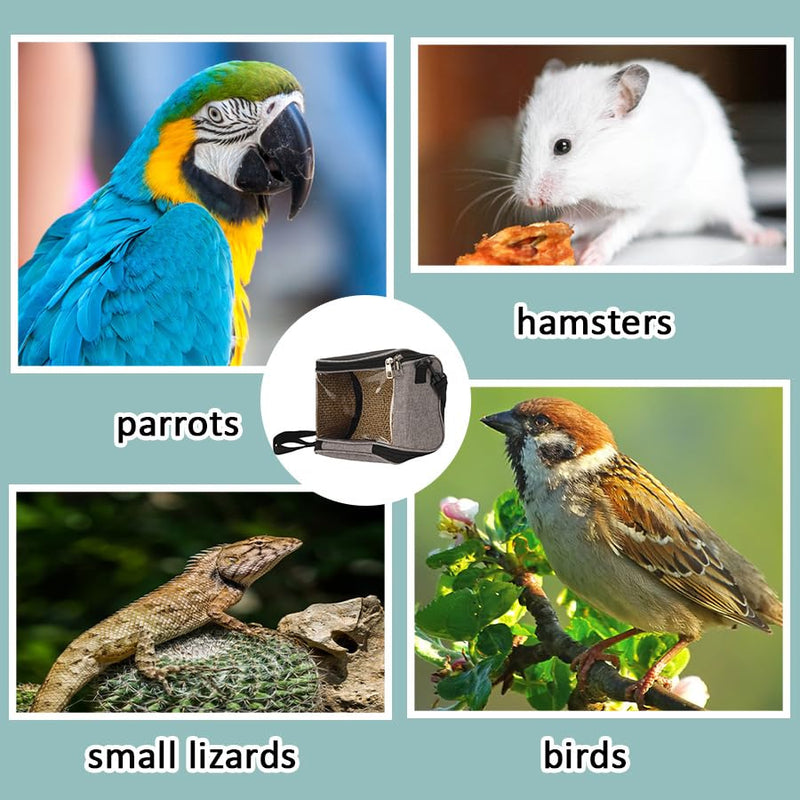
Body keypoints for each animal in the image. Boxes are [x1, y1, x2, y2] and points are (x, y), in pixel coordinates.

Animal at [514, 59, 784, 265]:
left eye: (563, 146)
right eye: (520, 146)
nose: (531, 201)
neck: (599, 177)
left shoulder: (647, 201)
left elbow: (620, 229)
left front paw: (590, 258)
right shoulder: (591, 207)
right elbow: (575, 222)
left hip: (729, 185)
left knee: (740, 217)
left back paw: (769, 237)